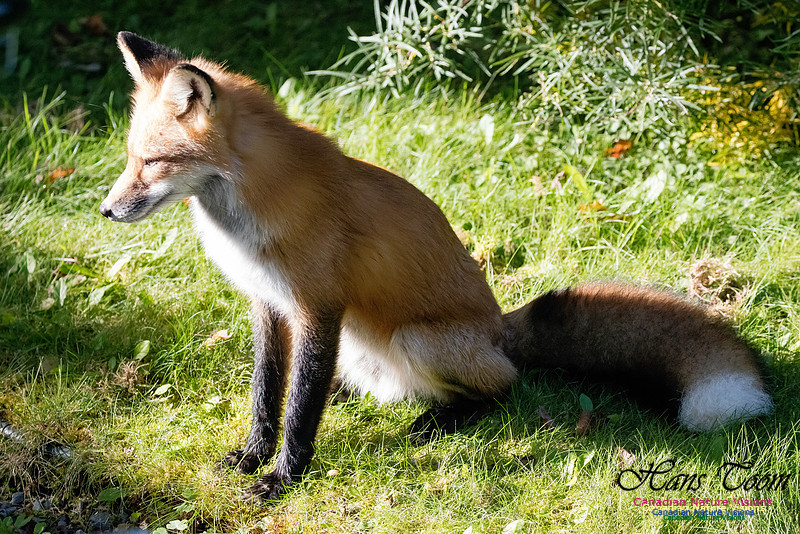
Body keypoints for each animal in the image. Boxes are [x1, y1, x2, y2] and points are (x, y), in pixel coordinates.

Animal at [99, 32, 772, 501]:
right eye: (131, 158)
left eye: (152, 162)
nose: (106, 210)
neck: (251, 212)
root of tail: (502, 330)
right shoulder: (269, 304)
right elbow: (270, 393)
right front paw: (250, 457)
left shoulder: (318, 305)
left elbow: (300, 407)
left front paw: (281, 478)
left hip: (417, 339)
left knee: (506, 387)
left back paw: (442, 418)